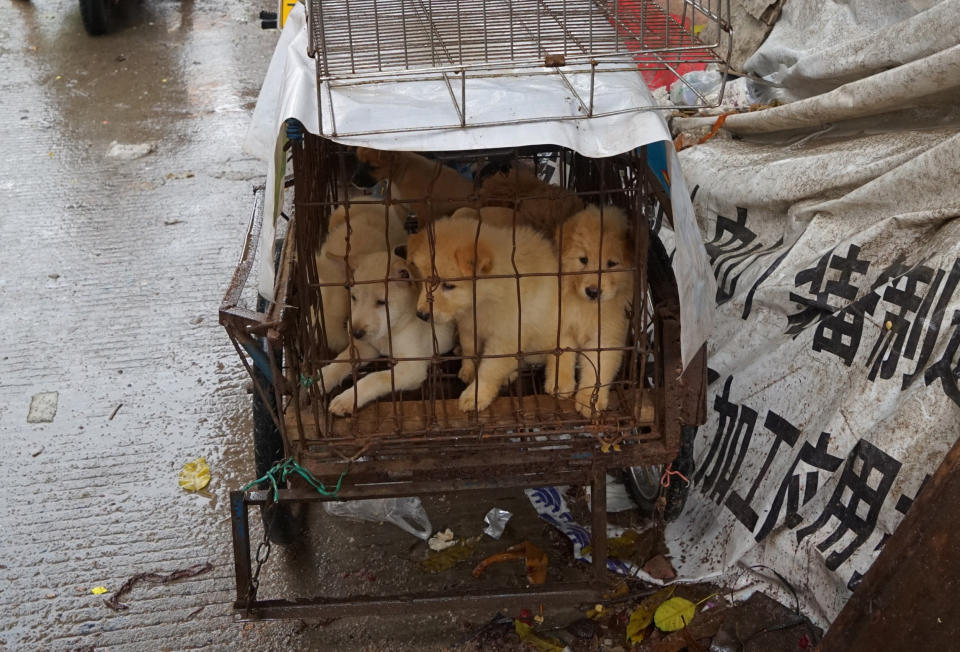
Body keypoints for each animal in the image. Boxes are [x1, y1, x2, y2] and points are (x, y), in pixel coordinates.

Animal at [316, 252, 456, 416]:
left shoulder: (413, 367)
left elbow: (375, 377)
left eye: (381, 302)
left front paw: (347, 399)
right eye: (354, 298)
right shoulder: (367, 347)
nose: (355, 333)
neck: (390, 332)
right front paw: (323, 378)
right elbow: (342, 360)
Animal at [406, 209, 560, 412]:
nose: (421, 315)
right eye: (425, 280)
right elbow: (469, 349)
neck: (483, 302)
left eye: (449, 286)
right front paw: (468, 370)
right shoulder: (468, 326)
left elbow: (490, 369)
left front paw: (476, 395)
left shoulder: (506, 339)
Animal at [552, 205, 632, 418]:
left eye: (612, 263)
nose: (592, 291)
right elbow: (562, 355)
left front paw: (590, 401)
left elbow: (598, 370)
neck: (588, 308)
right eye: (583, 259)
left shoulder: (606, 339)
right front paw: (560, 384)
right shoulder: (562, 323)